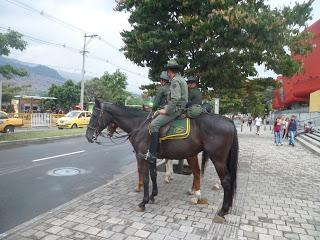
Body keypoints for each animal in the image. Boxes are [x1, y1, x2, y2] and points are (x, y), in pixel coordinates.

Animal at [85, 99, 238, 223]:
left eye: (94, 115)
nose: (88, 136)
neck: (140, 125)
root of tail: (229, 121)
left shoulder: (143, 157)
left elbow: (146, 178)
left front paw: (143, 202)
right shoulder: (151, 158)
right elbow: (153, 175)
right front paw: (153, 196)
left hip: (217, 159)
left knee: (225, 181)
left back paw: (222, 211)